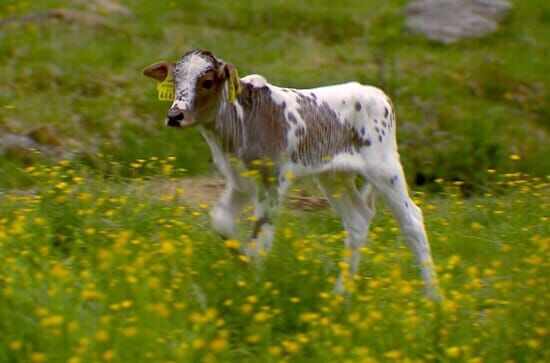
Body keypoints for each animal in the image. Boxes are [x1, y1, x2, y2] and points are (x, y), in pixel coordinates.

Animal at [143, 49, 444, 298]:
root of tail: (378, 94)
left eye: (206, 82)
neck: (239, 123)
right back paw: (340, 295)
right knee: (357, 219)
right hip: (334, 176)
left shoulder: (272, 181)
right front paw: (243, 267)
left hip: (384, 168)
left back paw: (434, 298)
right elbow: (221, 222)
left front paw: (255, 291)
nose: (175, 115)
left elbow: (260, 238)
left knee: (412, 221)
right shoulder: (240, 181)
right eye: (175, 82)